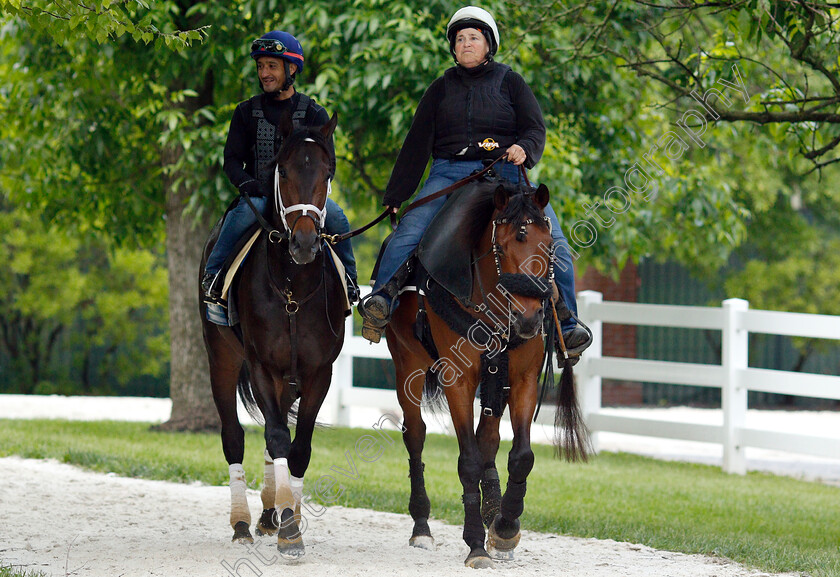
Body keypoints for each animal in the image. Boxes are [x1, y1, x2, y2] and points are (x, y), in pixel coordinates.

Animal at [200, 112, 344, 560]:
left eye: (327, 171)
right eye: (283, 171)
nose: (304, 242)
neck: (292, 288)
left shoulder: (317, 373)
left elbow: (297, 447)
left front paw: (289, 522)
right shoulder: (262, 366)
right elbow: (277, 436)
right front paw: (287, 527)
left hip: (288, 379)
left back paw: (269, 514)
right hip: (222, 359)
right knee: (235, 436)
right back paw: (242, 523)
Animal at [386, 180, 588, 568]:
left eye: (548, 245)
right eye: (502, 246)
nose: (529, 318)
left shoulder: (522, 378)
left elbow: (520, 456)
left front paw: (505, 526)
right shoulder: (458, 378)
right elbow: (468, 461)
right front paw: (476, 543)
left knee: (489, 439)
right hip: (407, 364)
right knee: (415, 435)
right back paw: (422, 526)